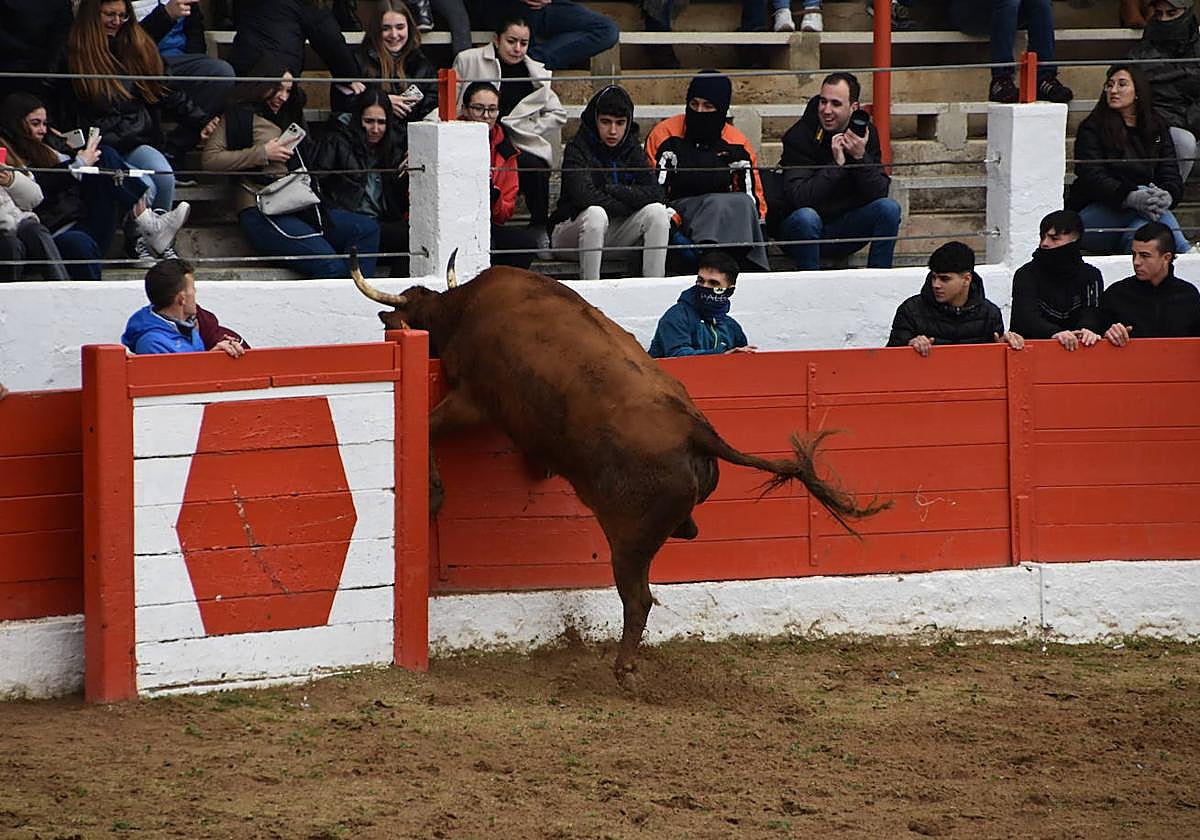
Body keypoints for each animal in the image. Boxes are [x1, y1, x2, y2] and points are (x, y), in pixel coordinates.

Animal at [353, 253, 889, 689]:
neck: (462, 309)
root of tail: (697, 431)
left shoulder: (473, 399)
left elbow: (427, 429)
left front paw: (433, 493)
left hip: (628, 539)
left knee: (639, 598)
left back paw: (624, 669)